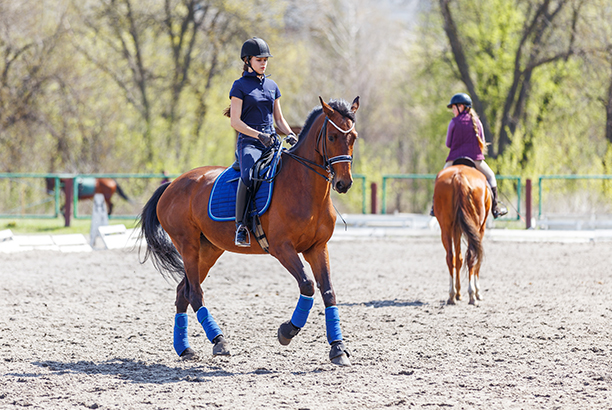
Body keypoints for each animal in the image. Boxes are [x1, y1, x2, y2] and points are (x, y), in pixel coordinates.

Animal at [139, 96, 358, 366]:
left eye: (353, 137)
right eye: (331, 137)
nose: (343, 183)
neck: (305, 187)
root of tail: (172, 184)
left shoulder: (318, 248)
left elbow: (328, 292)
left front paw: (338, 348)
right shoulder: (282, 248)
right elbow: (307, 285)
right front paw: (287, 331)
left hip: (208, 250)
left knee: (183, 292)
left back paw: (185, 349)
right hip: (187, 245)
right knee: (194, 293)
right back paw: (219, 341)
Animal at [430, 165, 492, 306]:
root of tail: (459, 176)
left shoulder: (456, 229)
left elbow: (458, 259)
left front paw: (458, 294)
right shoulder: (481, 229)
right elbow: (476, 259)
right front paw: (477, 292)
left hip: (446, 228)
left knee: (450, 257)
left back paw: (452, 295)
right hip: (476, 227)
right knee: (472, 256)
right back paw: (472, 295)